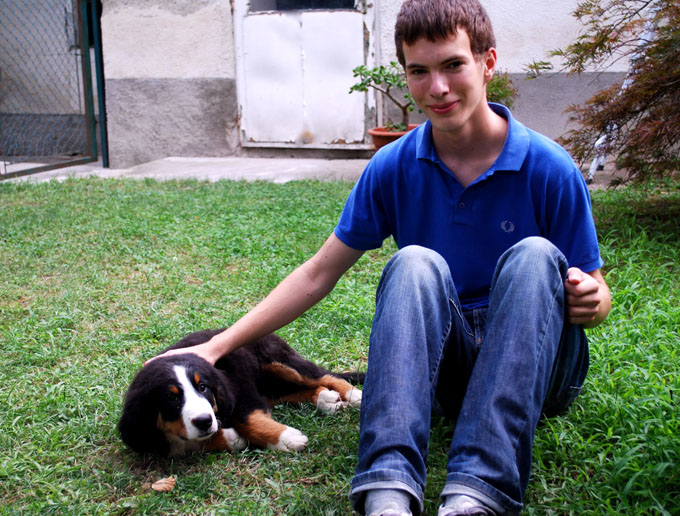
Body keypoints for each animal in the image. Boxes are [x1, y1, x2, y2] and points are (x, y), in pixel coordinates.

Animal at [118, 328, 364, 457]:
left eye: (203, 387)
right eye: (172, 397)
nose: (204, 421)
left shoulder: (242, 393)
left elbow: (249, 421)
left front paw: (288, 438)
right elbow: (186, 443)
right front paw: (229, 438)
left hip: (278, 360)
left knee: (324, 376)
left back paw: (354, 395)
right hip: (272, 387)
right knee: (303, 389)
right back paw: (327, 399)